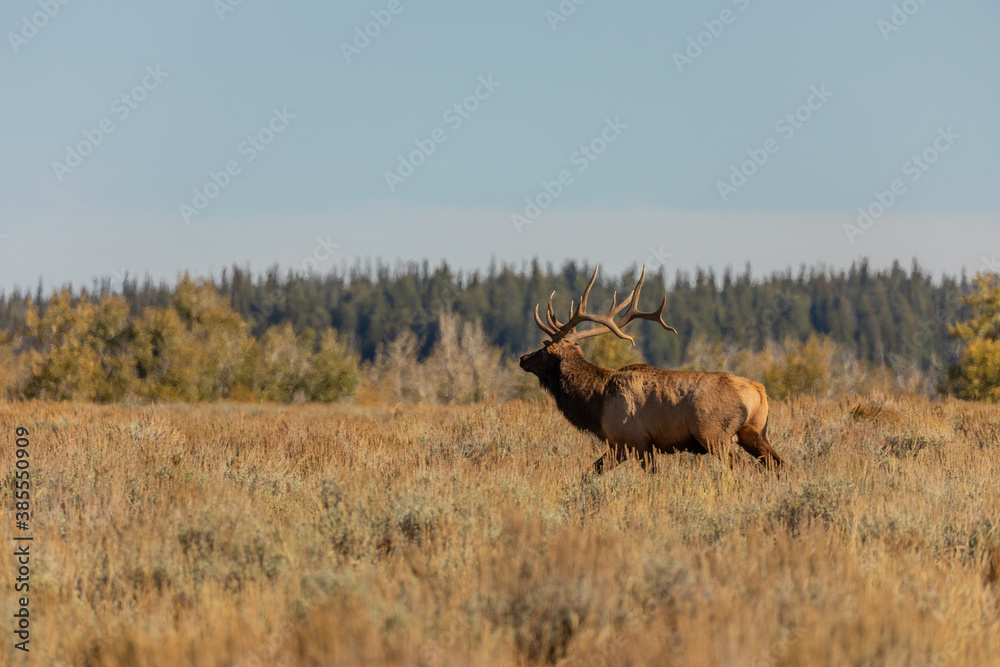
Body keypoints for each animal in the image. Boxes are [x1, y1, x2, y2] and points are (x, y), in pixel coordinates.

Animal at [519, 265, 783, 473]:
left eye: (544, 349)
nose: (522, 358)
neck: (596, 403)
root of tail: (759, 391)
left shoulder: (637, 441)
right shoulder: (619, 445)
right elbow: (590, 472)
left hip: (715, 435)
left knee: (744, 467)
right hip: (755, 433)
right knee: (779, 465)